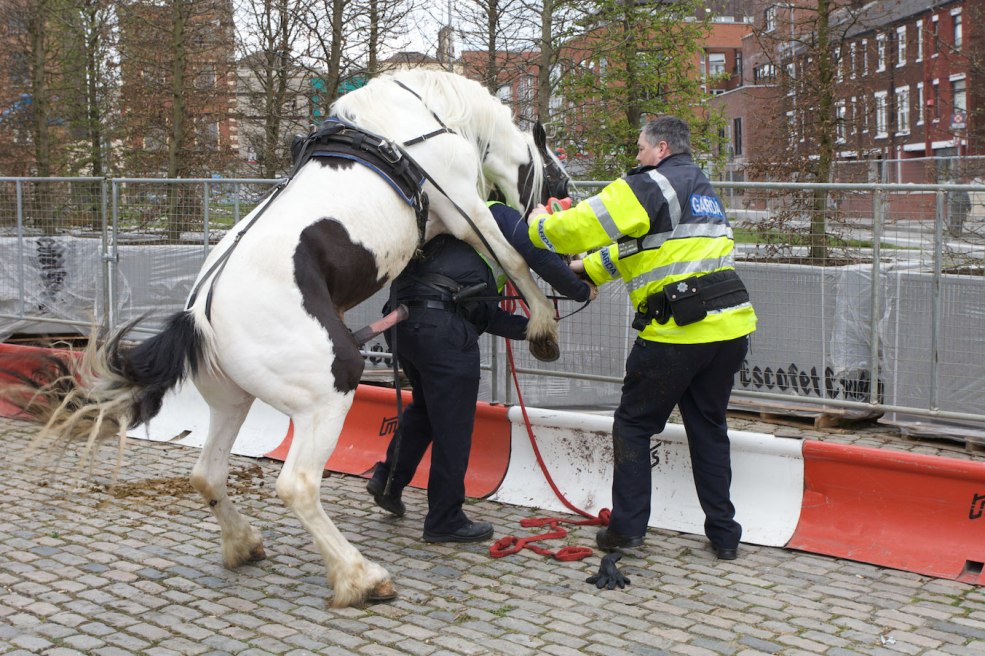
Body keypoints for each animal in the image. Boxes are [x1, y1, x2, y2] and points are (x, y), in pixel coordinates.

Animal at [11, 69, 571, 607]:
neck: (422, 115)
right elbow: (512, 257)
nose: (562, 200)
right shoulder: (465, 209)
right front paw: (544, 325)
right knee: (297, 486)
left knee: (207, 473)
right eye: (555, 170)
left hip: (233, 402)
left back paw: (243, 544)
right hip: (328, 397)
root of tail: (198, 318)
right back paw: (359, 577)